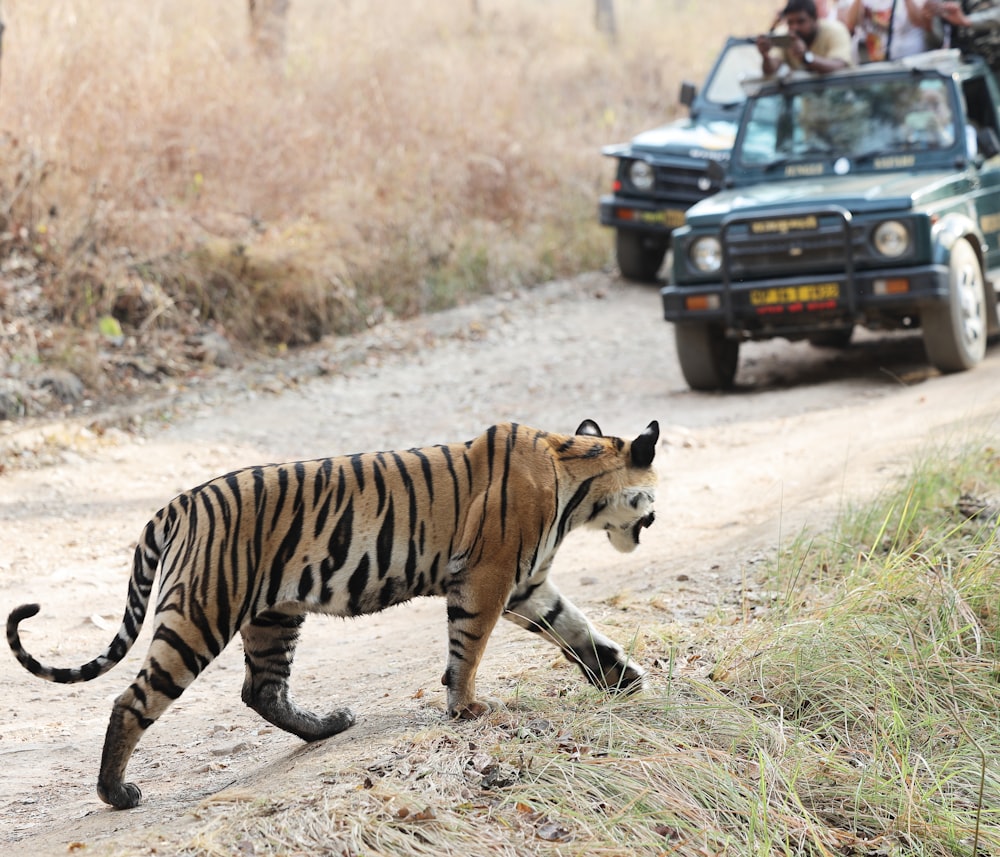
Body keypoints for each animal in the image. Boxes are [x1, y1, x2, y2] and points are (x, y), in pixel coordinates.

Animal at [9, 422, 664, 808]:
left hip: (272, 615)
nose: (655, 520)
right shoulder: (489, 576)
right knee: (133, 700)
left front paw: (625, 679)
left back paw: (329, 726)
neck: (574, 478)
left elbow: (576, 627)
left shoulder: (526, 583)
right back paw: (115, 792)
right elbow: (469, 646)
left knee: (262, 690)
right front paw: (467, 709)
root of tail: (178, 504)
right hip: (201, 614)